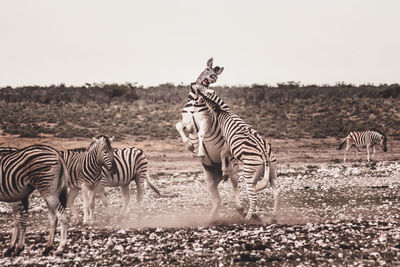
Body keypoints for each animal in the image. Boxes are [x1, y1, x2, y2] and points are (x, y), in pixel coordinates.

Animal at [175, 57, 244, 219]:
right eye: (207, 70)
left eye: (215, 75)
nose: (212, 78)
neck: (195, 99)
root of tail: (219, 173)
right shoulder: (189, 125)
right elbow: (178, 125)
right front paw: (189, 145)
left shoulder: (206, 122)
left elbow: (201, 134)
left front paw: (199, 152)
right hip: (209, 179)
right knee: (217, 200)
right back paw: (210, 218)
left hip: (233, 170)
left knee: (235, 187)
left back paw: (240, 209)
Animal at [196, 89, 278, 221]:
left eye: (200, 97)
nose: (197, 103)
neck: (224, 112)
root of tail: (264, 154)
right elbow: (223, 154)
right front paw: (224, 172)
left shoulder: (227, 142)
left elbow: (222, 153)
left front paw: (224, 172)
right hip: (272, 172)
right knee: (276, 192)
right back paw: (273, 216)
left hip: (249, 173)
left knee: (254, 197)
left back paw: (247, 218)